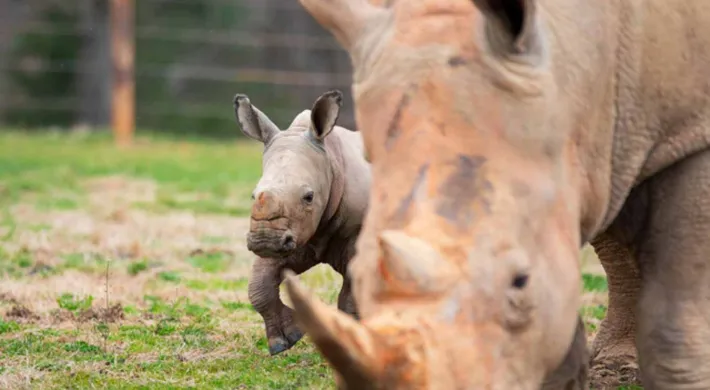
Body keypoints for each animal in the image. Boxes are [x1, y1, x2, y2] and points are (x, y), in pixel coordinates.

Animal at [235, 89, 372, 356]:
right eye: (253, 195)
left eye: (309, 197)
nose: (264, 239)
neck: (332, 163)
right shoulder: (296, 234)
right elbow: (258, 284)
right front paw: (283, 341)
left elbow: (350, 297)